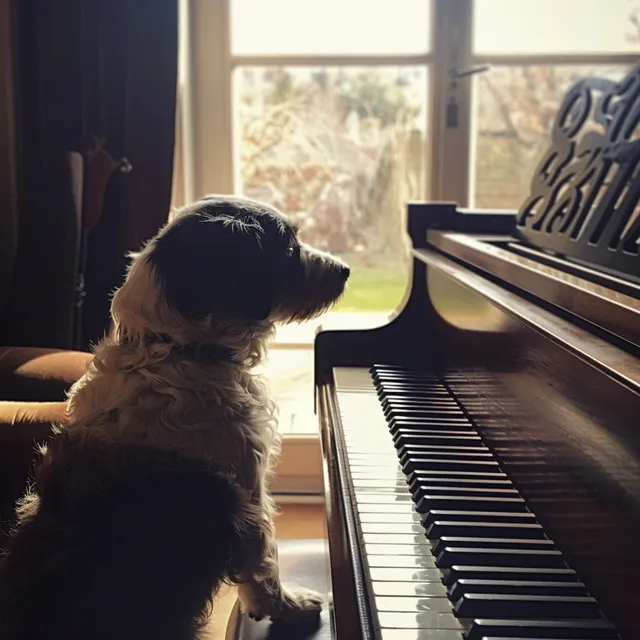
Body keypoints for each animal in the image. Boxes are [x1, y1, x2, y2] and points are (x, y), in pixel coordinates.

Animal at [0, 196, 350, 640]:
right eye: (288, 248)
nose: (345, 271)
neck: (176, 349)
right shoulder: (250, 495)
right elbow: (264, 568)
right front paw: (290, 609)